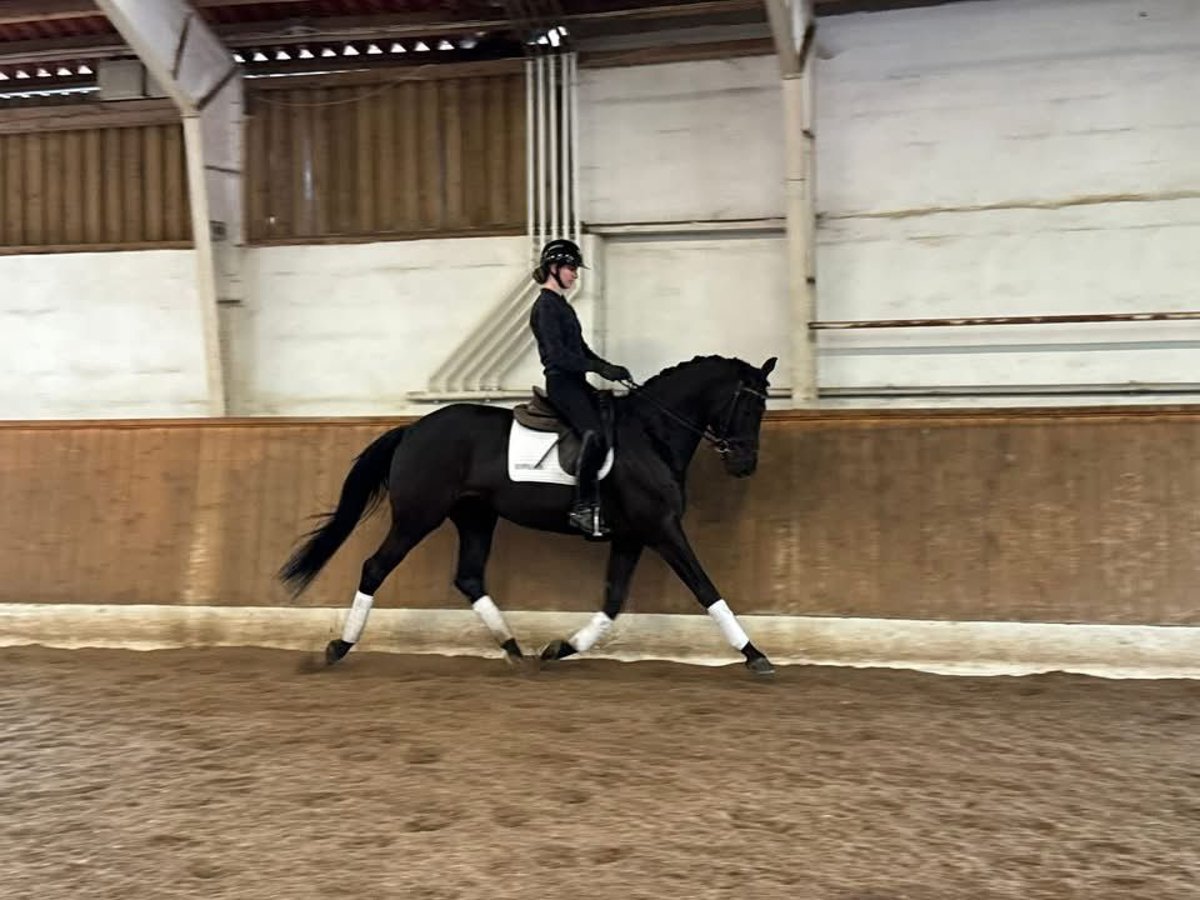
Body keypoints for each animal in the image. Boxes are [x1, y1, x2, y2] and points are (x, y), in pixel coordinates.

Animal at [278, 353, 779, 676]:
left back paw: (514, 648)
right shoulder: (661, 528)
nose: (745, 464)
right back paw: (338, 648)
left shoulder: (632, 535)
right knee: (375, 567)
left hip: (475, 517)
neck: (650, 434)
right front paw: (755, 655)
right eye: (750, 404)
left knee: (469, 577)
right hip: (418, 516)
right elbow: (705, 589)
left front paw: (561, 648)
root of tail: (413, 429)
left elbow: (613, 601)